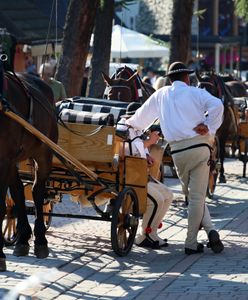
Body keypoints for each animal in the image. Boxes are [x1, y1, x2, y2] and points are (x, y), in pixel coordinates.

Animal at [0, 71, 58, 272]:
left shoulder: (3, 159)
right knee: (18, 191)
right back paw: (22, 239)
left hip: (44, 154)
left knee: (37, 191)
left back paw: (40, 241)